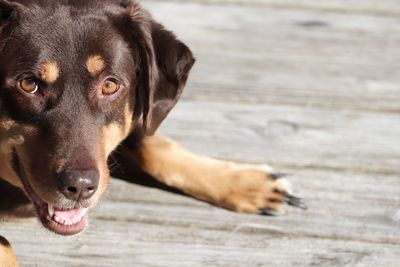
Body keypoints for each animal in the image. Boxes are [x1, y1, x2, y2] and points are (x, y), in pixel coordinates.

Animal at [0, 0, 306, 264]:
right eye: (28, 84)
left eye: (110, 85)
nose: (80, 186)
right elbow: (6, 246)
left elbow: (152, 144)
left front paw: (248, 182)